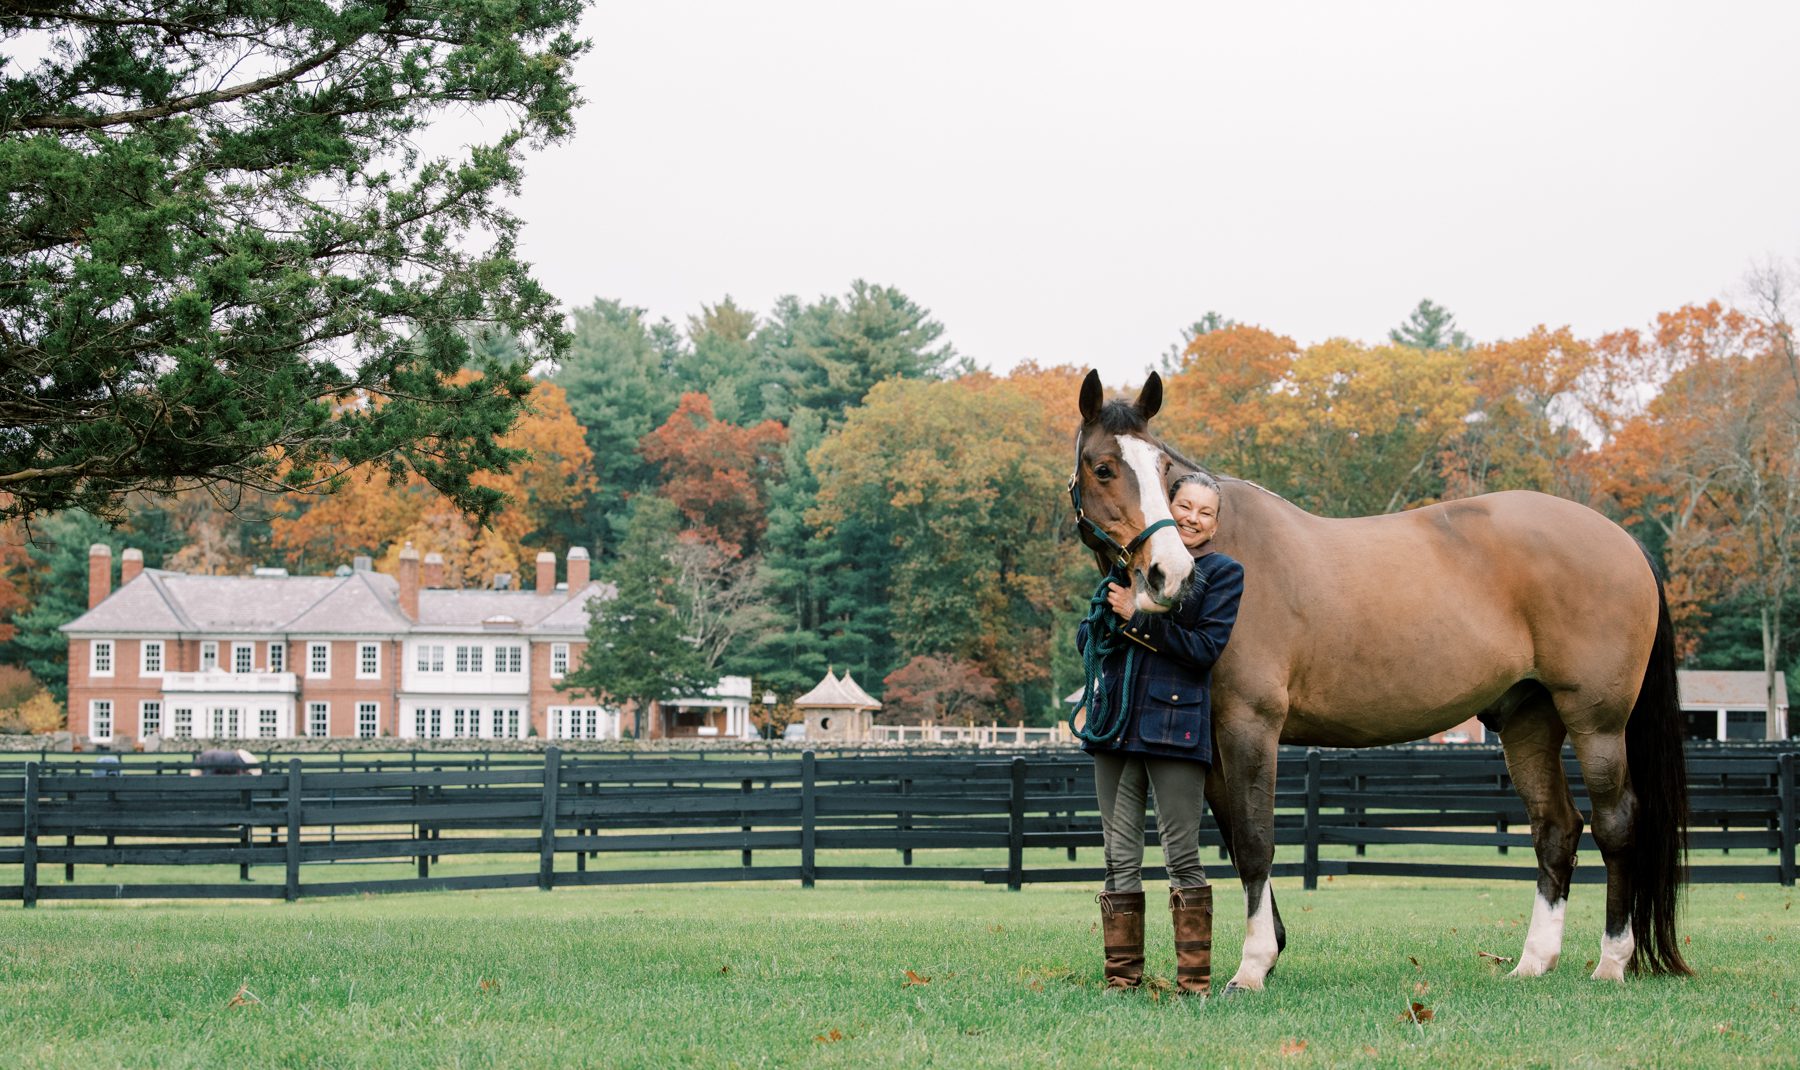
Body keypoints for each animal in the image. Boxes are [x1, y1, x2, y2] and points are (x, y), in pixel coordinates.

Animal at [1069, 369, 1689, 990]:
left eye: (1162, 470)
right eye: (1103, 467)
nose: (1167, 574)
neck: (1225, 547)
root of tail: (1624, 541)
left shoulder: (1252, 725)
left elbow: (1256, 839)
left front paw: (1252, 966)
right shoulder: (1214, 739)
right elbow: (1237, 840)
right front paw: (1270, 948)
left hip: (1597, 724)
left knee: (1614, 824)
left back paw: (1611, 962)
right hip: (1528, 721)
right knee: (1556, 829)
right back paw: (1533, 962)